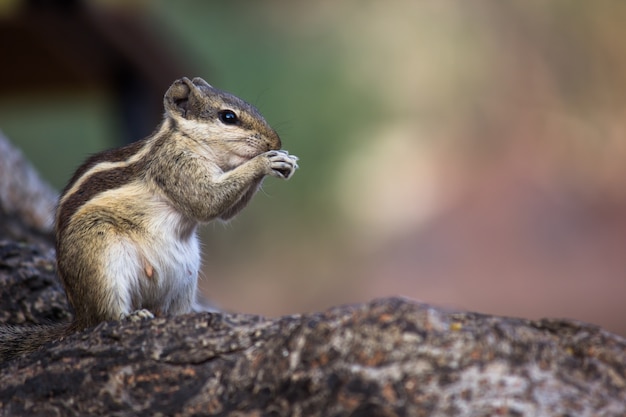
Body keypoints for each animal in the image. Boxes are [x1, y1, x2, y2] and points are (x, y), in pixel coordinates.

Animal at [0, 76, 298, 360]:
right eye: (228, 117)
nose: (276, 143)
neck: (186, 140)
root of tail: (80, 316)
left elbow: (224, 212)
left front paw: (284, 159)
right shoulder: (175, 166)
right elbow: (206, 201)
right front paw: (266, 162)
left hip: (184, 279)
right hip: (99, 260)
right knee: (105, 315)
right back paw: (131, 316)